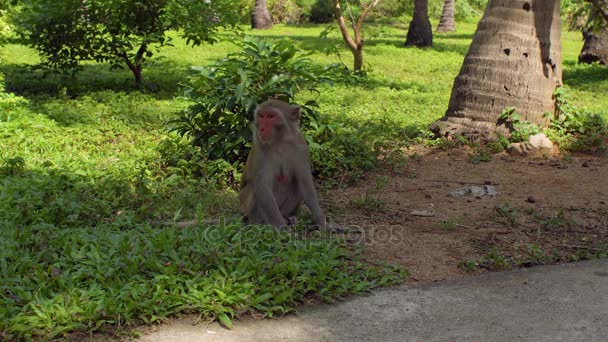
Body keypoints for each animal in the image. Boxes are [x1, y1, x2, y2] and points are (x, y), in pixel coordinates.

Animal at [239, 100, 342, 231]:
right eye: (261, 116)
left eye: (271, 116)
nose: (261, 128)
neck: (280, 141)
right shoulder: (260, 148)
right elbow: (262, 186)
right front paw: (280, 226)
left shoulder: (301, 147)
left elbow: (305, 183)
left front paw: (323, 224)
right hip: (244, 204)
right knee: (254, 188)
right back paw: (259, 223)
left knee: (296, 183)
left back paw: (290, 218)